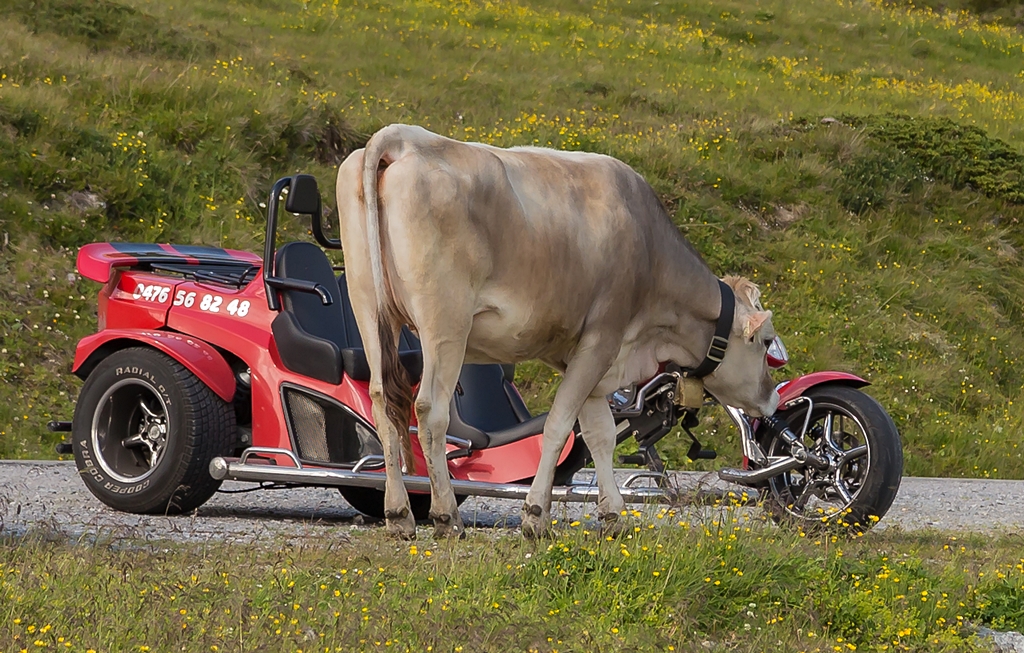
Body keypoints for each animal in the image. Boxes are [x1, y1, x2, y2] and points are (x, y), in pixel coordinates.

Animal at [335, 123, 774, 540]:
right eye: (766, 342)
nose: (771, 401)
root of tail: (401, 137)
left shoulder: (590, 358)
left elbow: (599, 434)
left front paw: (614, 516)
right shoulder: (603, 338)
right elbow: (560, 426)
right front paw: (535, 515)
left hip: (368, 306)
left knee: (383, 402)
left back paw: (399, 515)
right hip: (445, 319)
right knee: (430, 410)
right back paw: (447, 517)